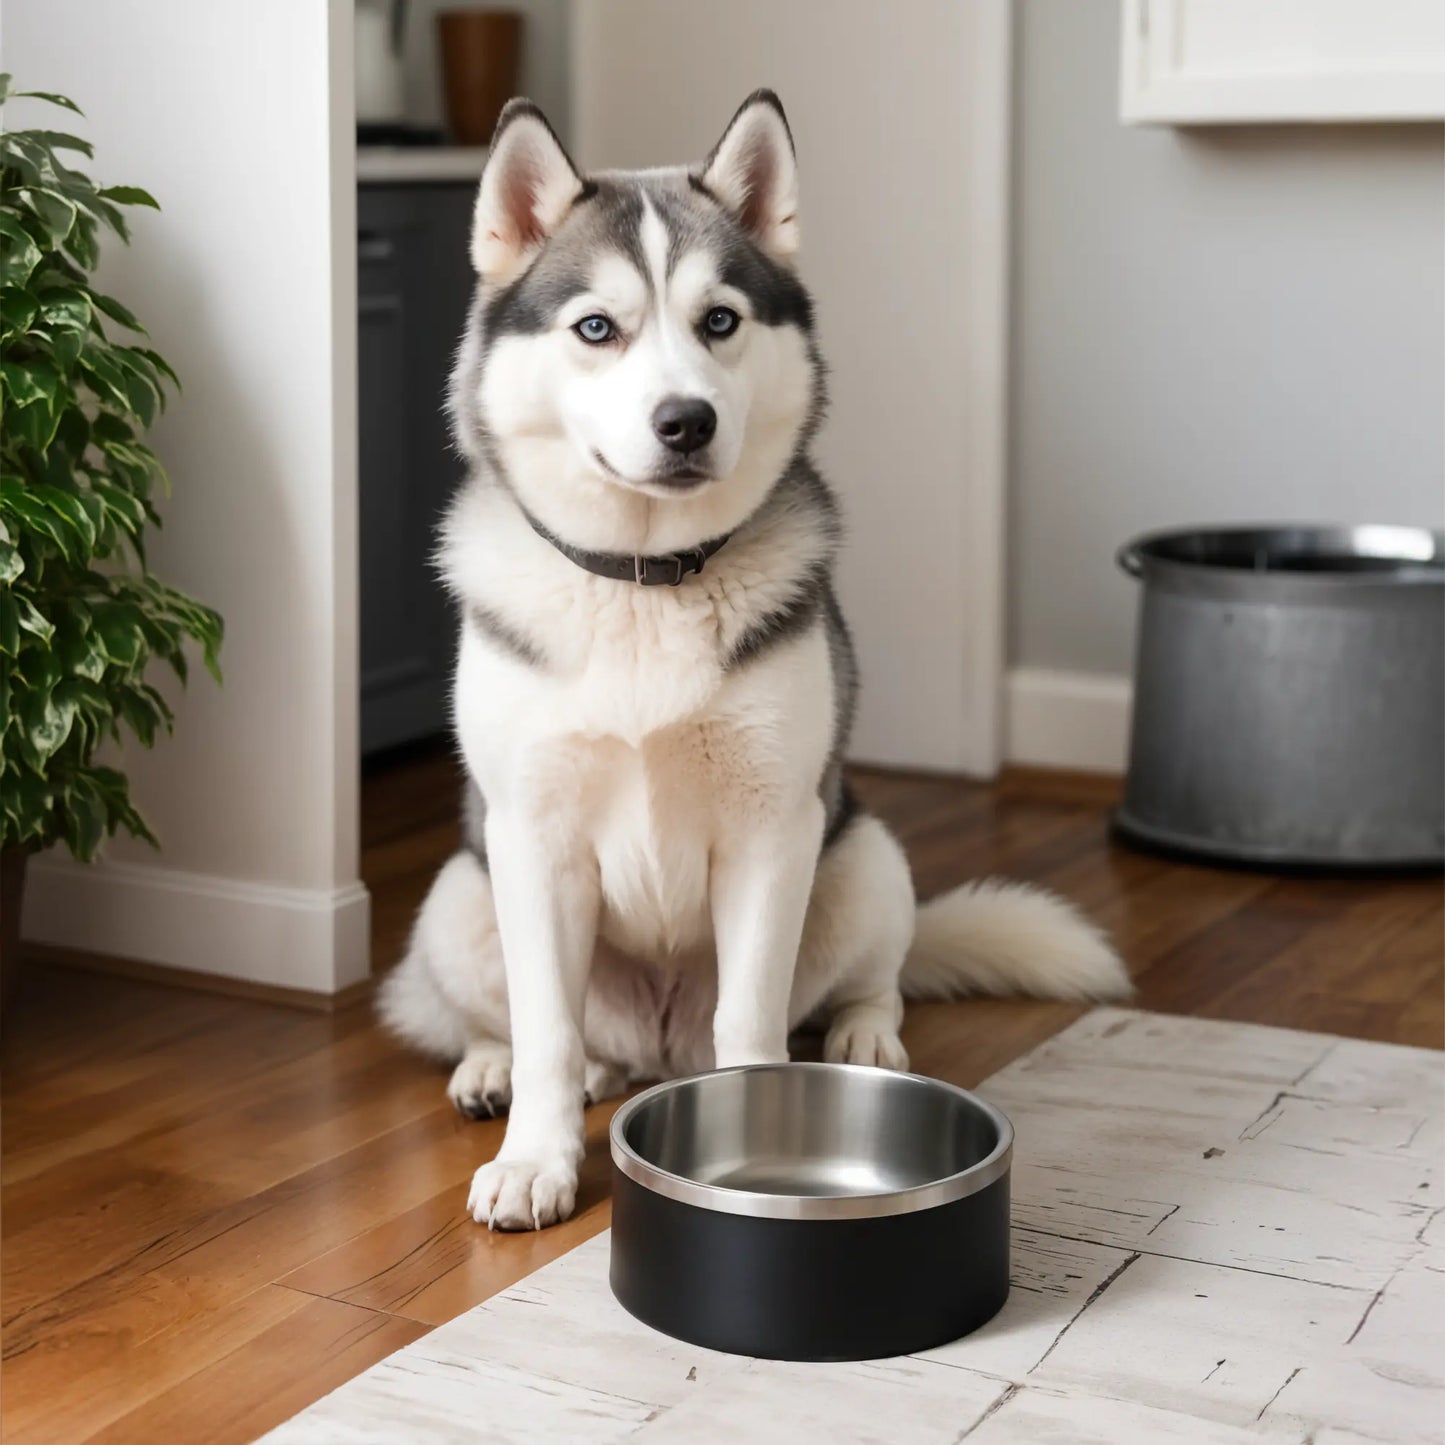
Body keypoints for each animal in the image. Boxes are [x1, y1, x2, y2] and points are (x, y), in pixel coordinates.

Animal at [381, 90, 1127, 1231]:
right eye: (595, 327)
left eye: (719, 321)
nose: (685, 421)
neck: (644, 580)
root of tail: (650, 1048)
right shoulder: (532, 837)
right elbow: (548, 1030)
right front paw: (535, 1157)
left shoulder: (772, 828)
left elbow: (752, 1025)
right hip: (461, 892)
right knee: (532, 1028)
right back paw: (494, 1065)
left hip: (860, 853)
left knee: (868, 975)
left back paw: (866, 1032)